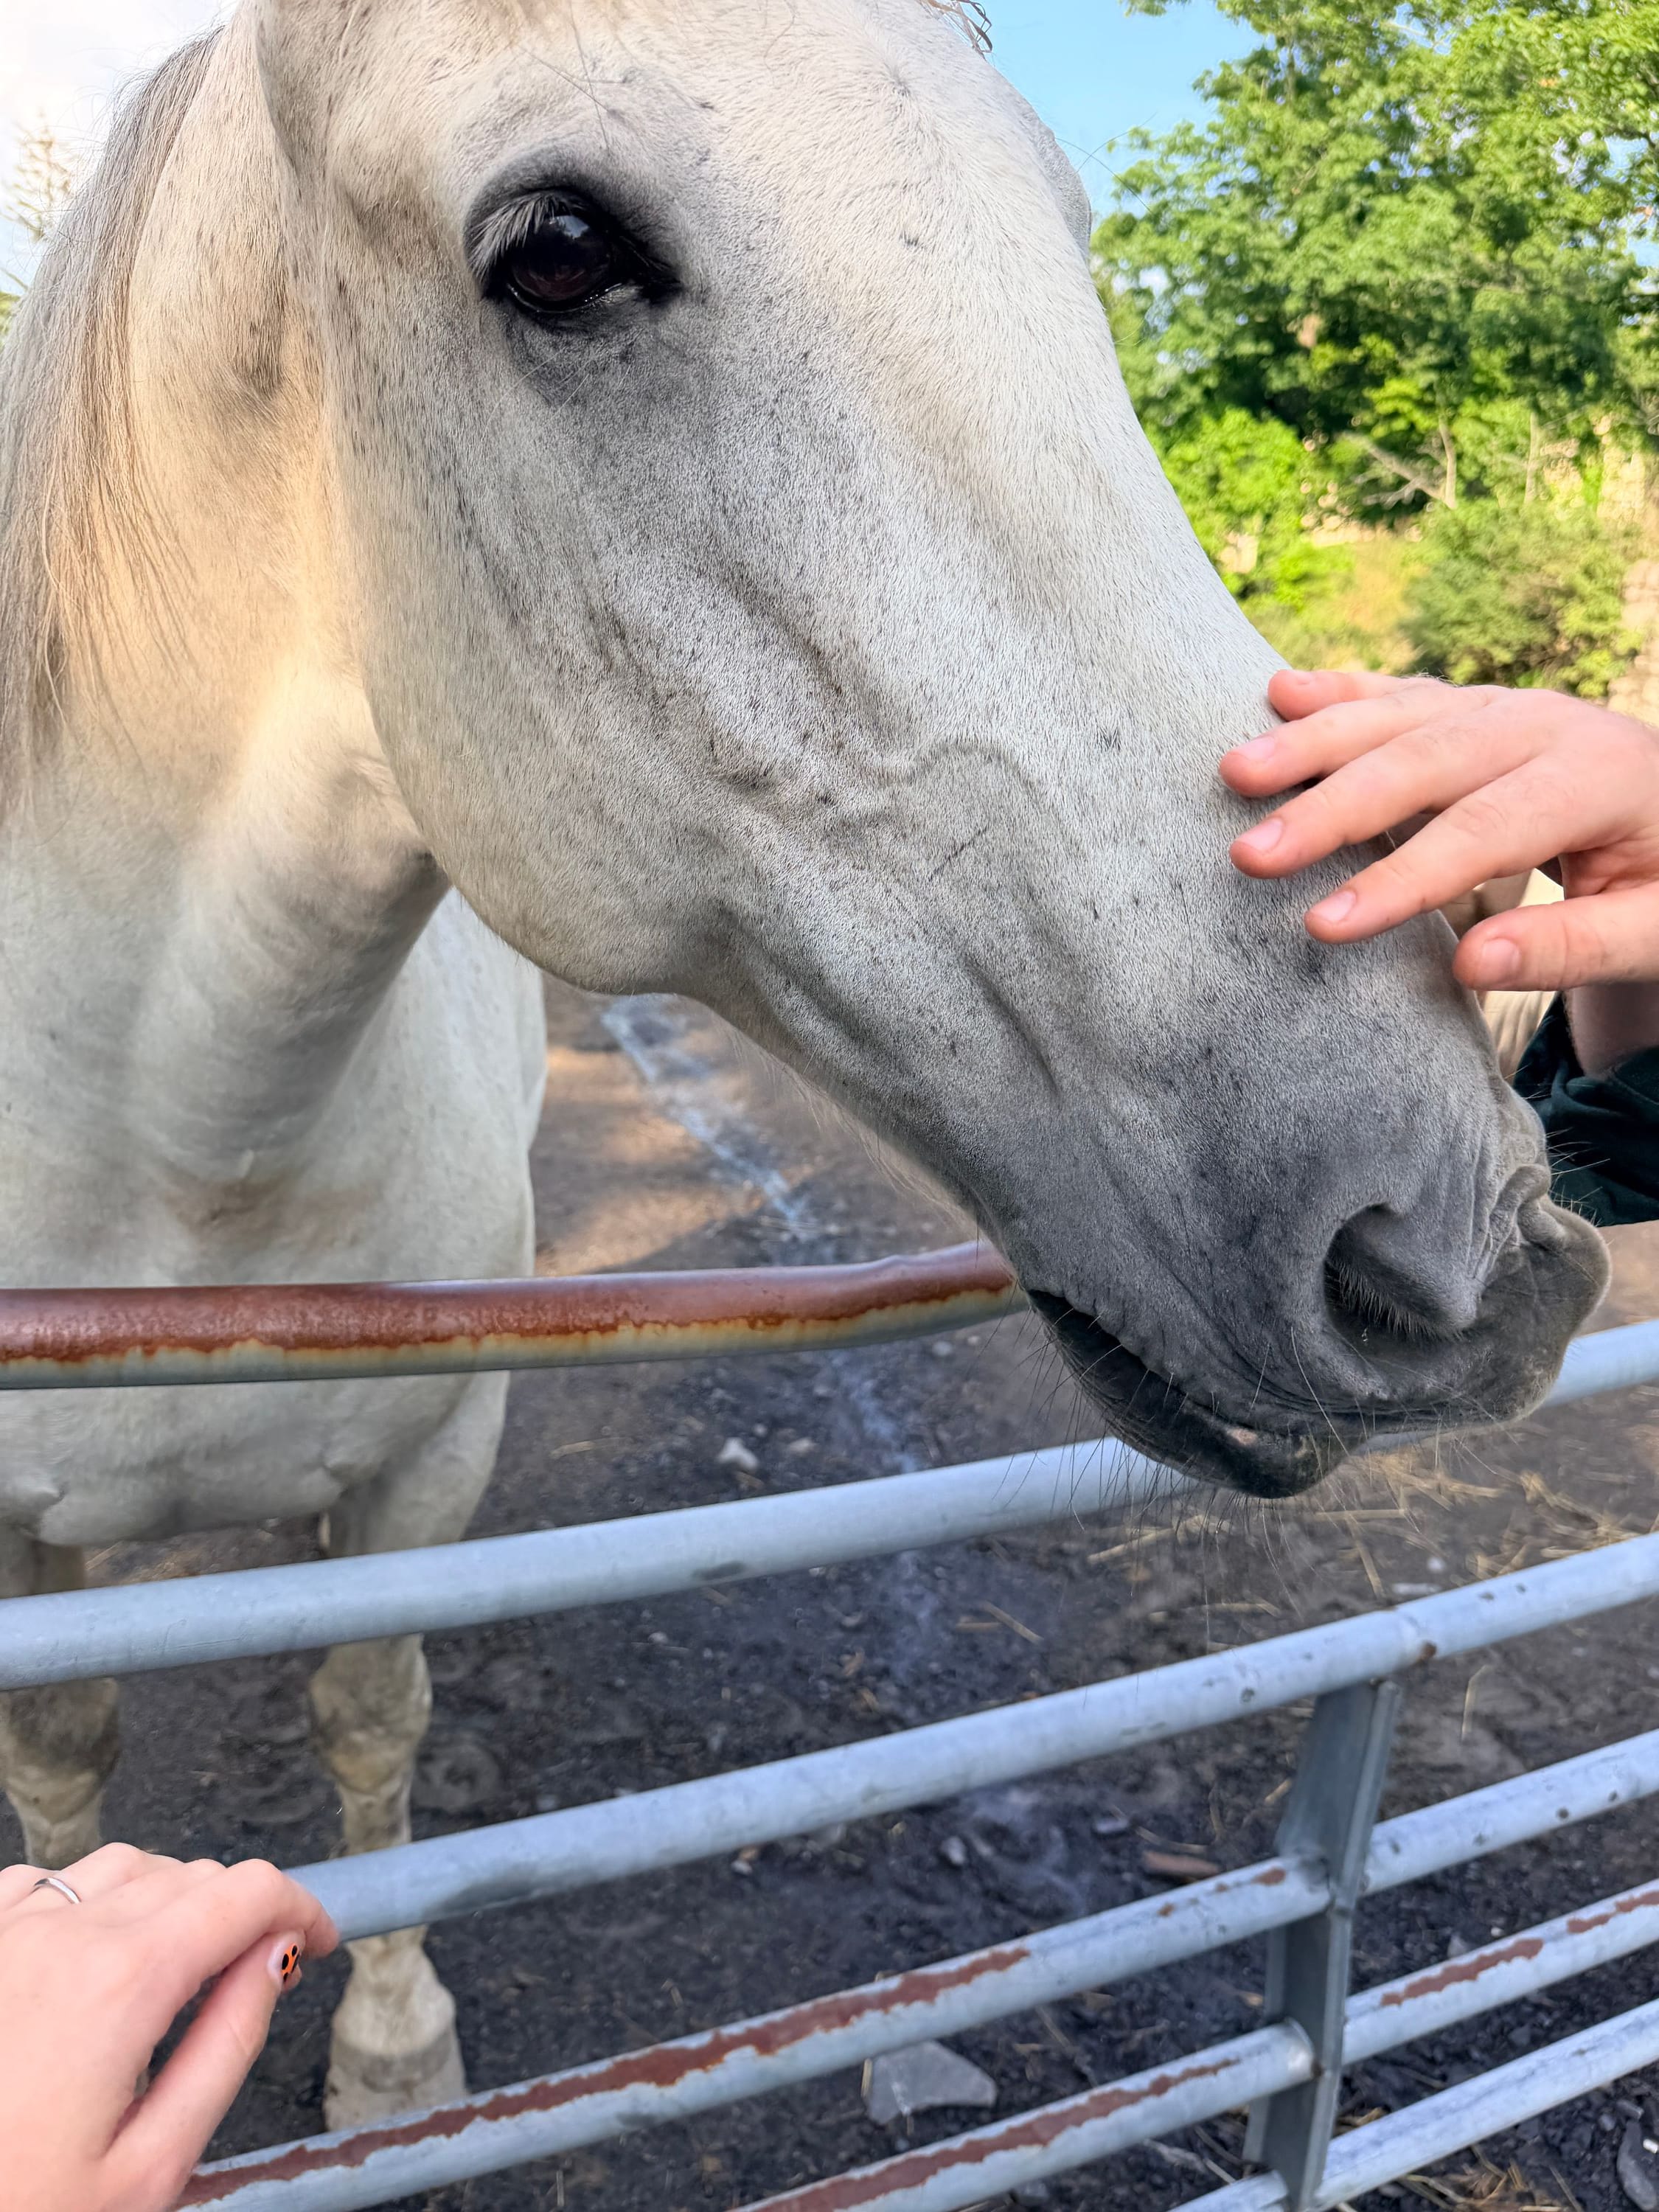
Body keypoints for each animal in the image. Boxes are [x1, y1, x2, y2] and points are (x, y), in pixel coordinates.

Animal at [0, 0, 1606, 2133]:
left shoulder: (423, 1459)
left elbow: (370, 1705)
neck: (177, 1160)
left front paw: (393, 2050)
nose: (1451, 1242)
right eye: (558, 255)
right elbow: (66, 1760)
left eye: (1061, 223)